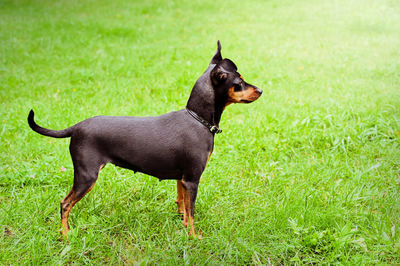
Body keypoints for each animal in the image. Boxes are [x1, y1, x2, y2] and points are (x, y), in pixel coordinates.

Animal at [26, 41, 260, 237]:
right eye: (239, 82)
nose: (260, 89)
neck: (197, 119)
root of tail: (76, 127)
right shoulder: (193, 180)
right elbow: (192, 211)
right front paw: (194, 237)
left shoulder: (182, 179)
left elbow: (183, 206)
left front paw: (183, 226)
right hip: (87, 176)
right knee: (65, 203)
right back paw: (65, 234)